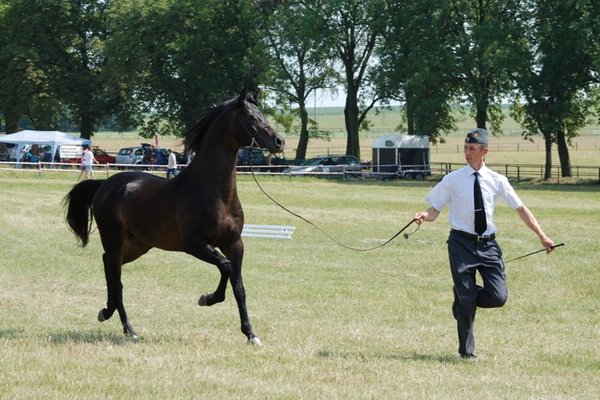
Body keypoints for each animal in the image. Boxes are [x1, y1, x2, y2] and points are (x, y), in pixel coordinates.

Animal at [64, 90, 284, 344]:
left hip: (138, 244)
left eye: (262, 114)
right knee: (116, 279)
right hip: (113, 239)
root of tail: (105, 185)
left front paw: (250, 334)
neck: (215, 192)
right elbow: (226, 268)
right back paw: (129, 329)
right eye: (250, 117)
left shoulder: (234, 244)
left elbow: (239, 286)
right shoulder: (195, 244)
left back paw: (106, 311)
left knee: (108, 264)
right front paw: (207, 298)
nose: (279, 142)